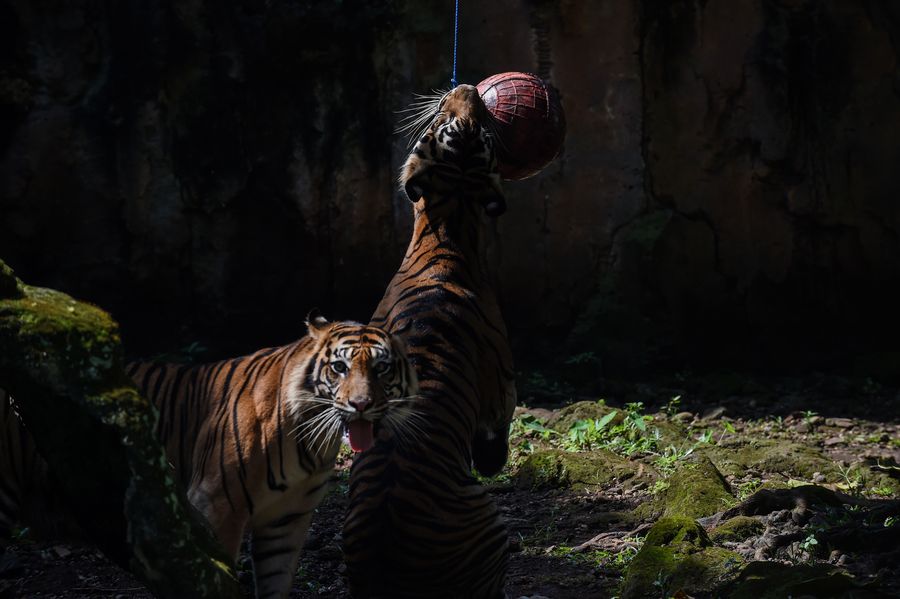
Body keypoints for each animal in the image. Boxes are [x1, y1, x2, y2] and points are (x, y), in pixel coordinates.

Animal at [342, 84, 516, 599]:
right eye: (447, 121)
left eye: (474, 126)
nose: (468, 88)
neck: (450, 224)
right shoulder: (503, 386)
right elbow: (497, 436)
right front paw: (493, 459)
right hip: (492, 521)